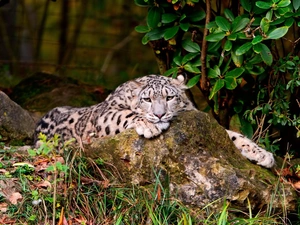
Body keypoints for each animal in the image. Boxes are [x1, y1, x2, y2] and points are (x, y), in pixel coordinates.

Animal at [34, 74, 276, 168]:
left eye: (169, 97)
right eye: (147, 99)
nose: (159, 114)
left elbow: (232, 135)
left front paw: (262, 154)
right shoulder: (105, 114)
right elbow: (124, 114)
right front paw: (150, 126)